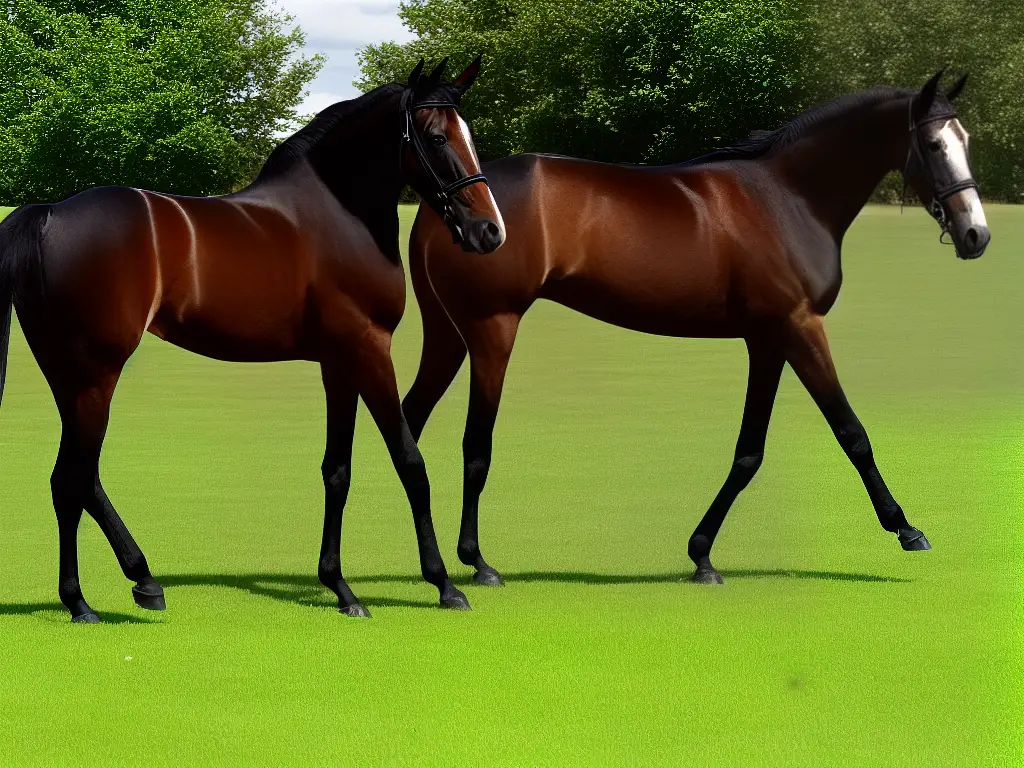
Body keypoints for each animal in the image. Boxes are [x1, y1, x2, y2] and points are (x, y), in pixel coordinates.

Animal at [2, 60, 505, 626]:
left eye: (469, 135)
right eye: (437, 137)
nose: (489, 231)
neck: (338, 214)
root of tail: (48, 213)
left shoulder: (339, 362)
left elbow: (338, 470)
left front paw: (340, 587)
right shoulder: (371, 349)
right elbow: (410, 462)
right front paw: (444, 584)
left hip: (70, 378)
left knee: (80, 477)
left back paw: (142, 579)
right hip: (96, 374)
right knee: (70, 479)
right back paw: (81, 601)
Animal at [405, 73, 991, 589]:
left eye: (966, 141)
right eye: (934, 144)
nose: (975, 234)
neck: (788, 199)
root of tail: (452, 207)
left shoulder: (768, 340)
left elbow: (749, 451)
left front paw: (703, 555)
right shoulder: (801, 328)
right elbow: (852, 432)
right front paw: (906, 528)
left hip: (447, 337)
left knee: (408, 418)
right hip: (491, 331)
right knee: (473, 443)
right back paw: (476, 561)